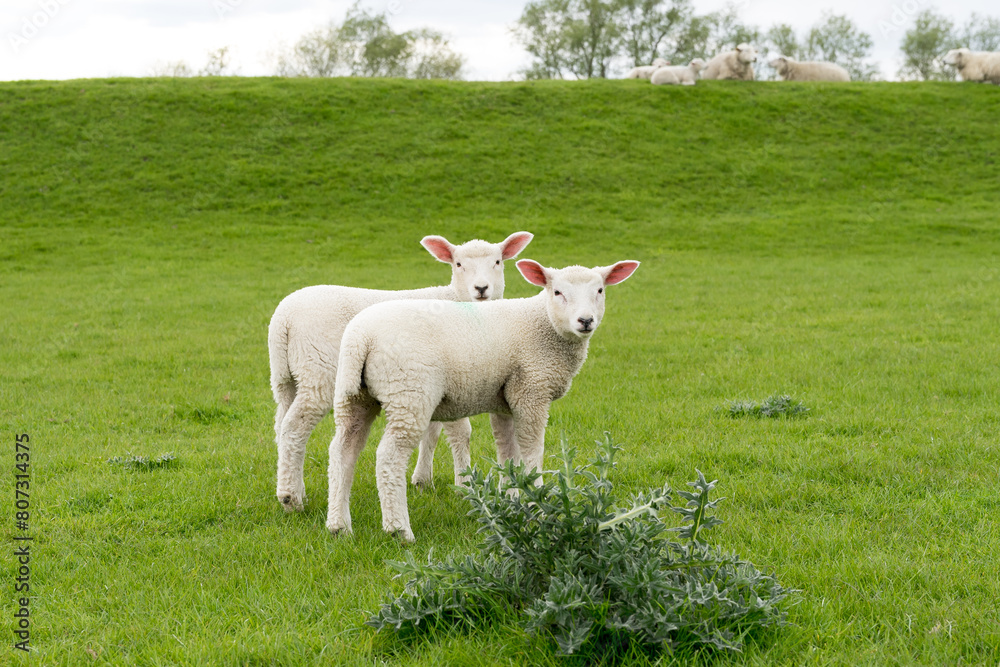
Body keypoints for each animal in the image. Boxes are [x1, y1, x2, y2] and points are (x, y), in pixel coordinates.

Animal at [268, 231, 533, 513]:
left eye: (497, 262)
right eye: (458, 264)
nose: (481, 289)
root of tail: (282, 319)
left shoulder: (435, 380)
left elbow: (432, 432)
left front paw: (422, 480)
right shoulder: (456, 376)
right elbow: (461, 433)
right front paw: (465, 487)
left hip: (286, 378)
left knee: (282, 425)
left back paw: (293, 489)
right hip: (318, 371)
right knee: (294, 427)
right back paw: (291, 498)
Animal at [325, 258, 640, 542]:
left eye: (599, 290)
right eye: (557, 292)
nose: (585, 321)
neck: (542, 325)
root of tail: (362, 337)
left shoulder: (507, 398)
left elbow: (508, 451)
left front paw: (513, 500)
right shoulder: (531, 391)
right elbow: (532, 451)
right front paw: (537, 504)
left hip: (355, 396)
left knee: (343, 450)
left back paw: (339, 526)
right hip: (408, 392)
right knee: (389, 457)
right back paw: (399, 529)